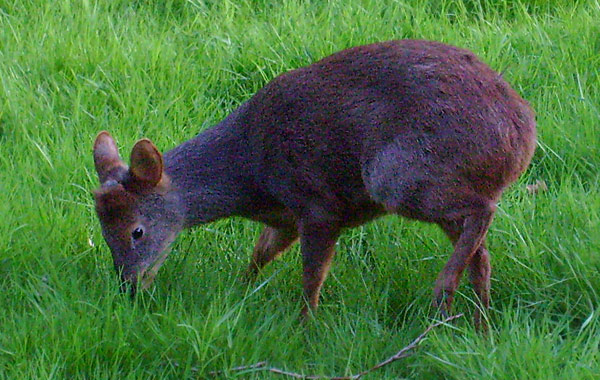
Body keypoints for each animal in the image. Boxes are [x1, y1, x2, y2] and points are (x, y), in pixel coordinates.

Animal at [92, 40, 536, 326]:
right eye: (103, 231)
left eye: (137, 231)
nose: (128, 286)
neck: (251, 173)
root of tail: (523, 134)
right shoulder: (286, 218)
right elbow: (260, 254)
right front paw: (239, 292)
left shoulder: (317, 204)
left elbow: (312, 275)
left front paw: (305, 326)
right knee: (482, 252)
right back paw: (479, 321)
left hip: (398, 174)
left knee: (483, 211)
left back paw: (443, 291)